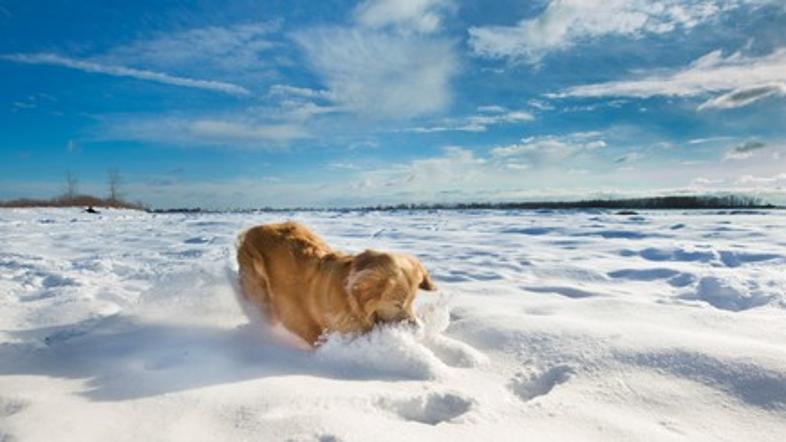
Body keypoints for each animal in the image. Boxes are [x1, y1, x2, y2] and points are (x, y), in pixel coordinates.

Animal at [236, 221, 438, 346]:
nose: (417, 328)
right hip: (258, 287)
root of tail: (252, 229)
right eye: (397, 304)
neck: (352, 302)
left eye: (412, 302)